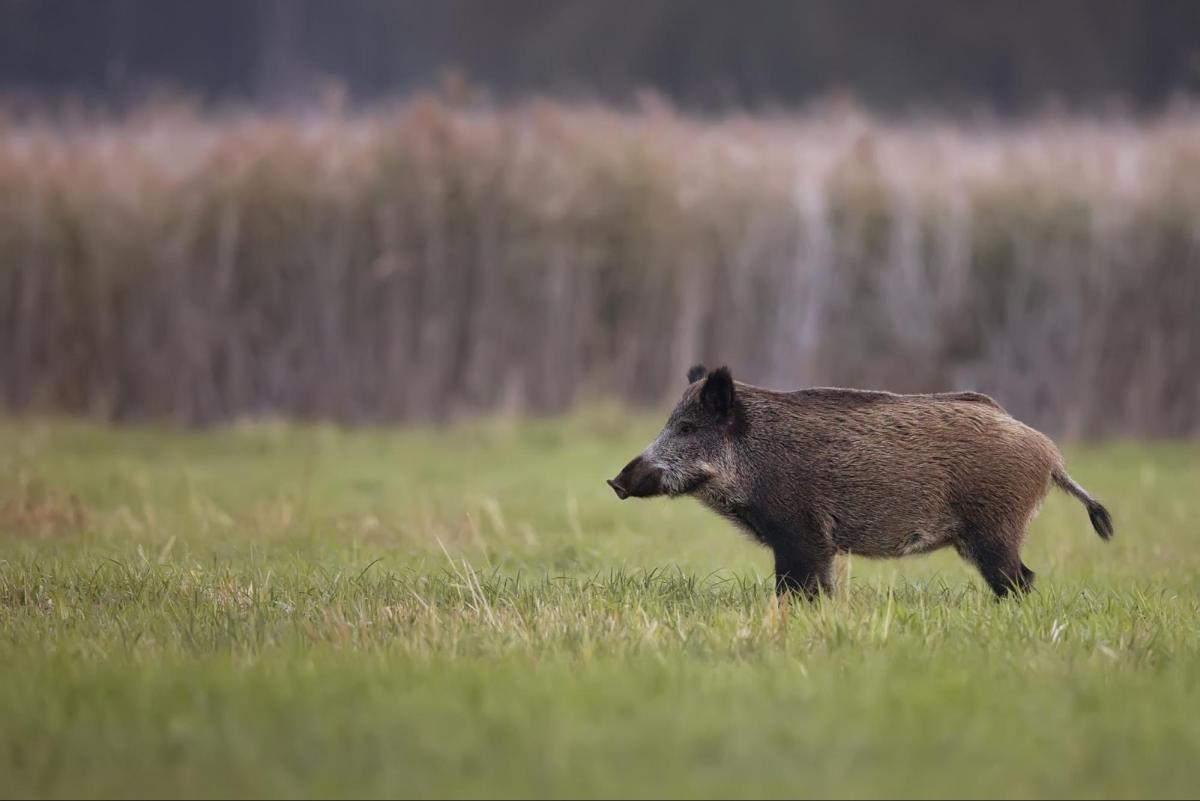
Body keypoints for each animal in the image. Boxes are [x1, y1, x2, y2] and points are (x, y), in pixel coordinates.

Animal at [607, 365, 1113, 599]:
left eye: (687, 427)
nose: (614, 481)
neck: (754, 461)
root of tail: (1050, 454)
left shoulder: (803, 534)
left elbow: (797, 586)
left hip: (995, 528)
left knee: (1019, 579)